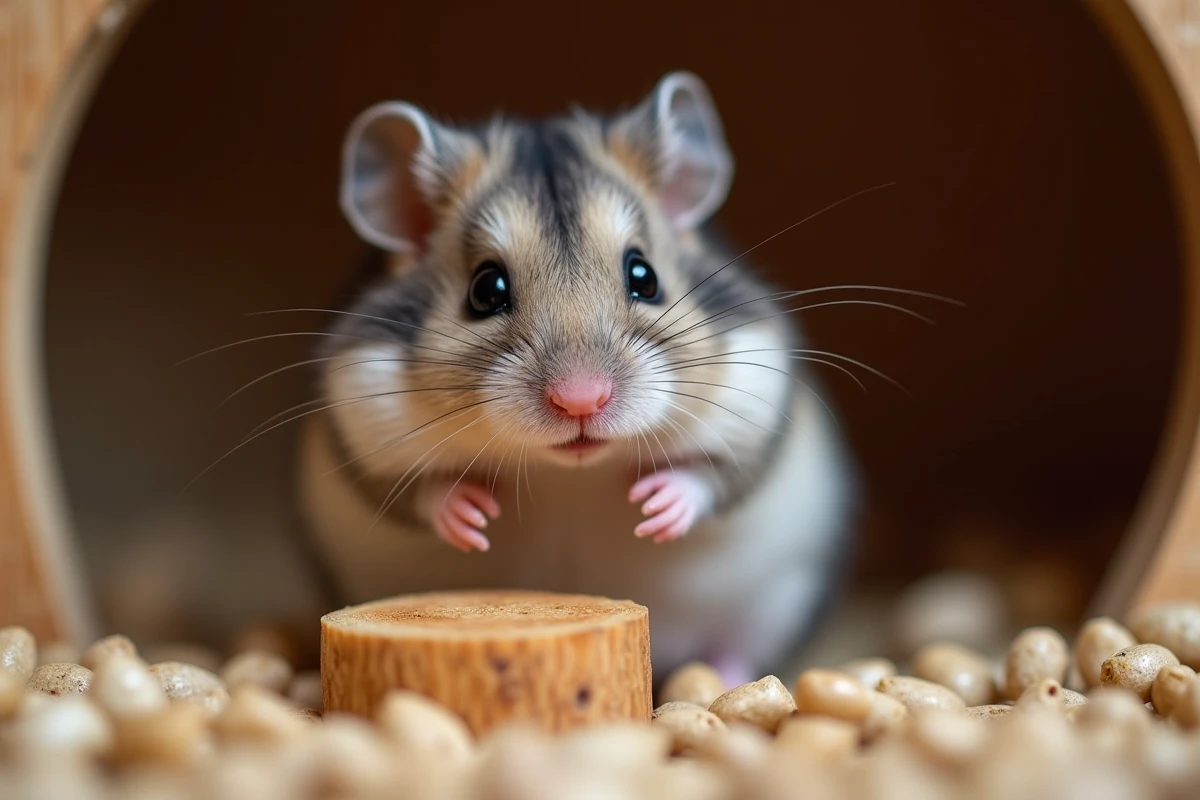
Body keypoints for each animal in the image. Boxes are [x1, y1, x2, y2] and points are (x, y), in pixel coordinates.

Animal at [295, 71, 856, 687]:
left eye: (644, 276)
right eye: (486, 290)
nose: (581, 401)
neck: (569, 473)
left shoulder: (755, 413)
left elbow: (708, 473)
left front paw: (652, 506)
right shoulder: (365, 430)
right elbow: (424, 490)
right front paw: (477, 515)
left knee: (735, 645)